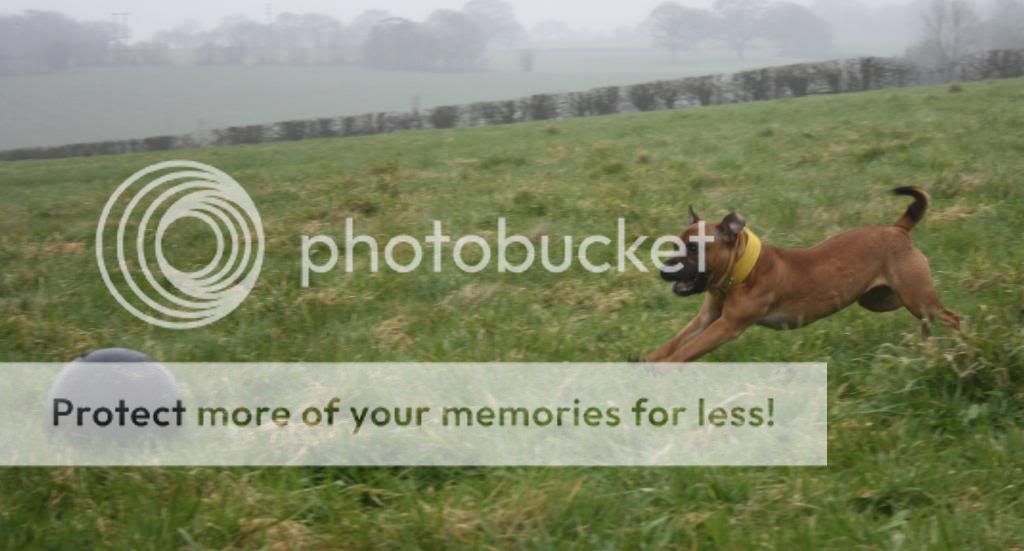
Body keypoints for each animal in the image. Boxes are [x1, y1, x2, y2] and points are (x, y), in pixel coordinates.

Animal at [647, 186, 958, 362]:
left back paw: (960, 344)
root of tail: (898, 229)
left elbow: (686, 351)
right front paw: (650, 359)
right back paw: (927, 343)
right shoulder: (707, 318)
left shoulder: (727, 326)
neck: (741, 270)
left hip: (915, 297)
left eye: (694, 247)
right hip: (881, 299)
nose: (663, 272)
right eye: (674, 244)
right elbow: (675, 343)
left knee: (952, 317)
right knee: (927, 317)